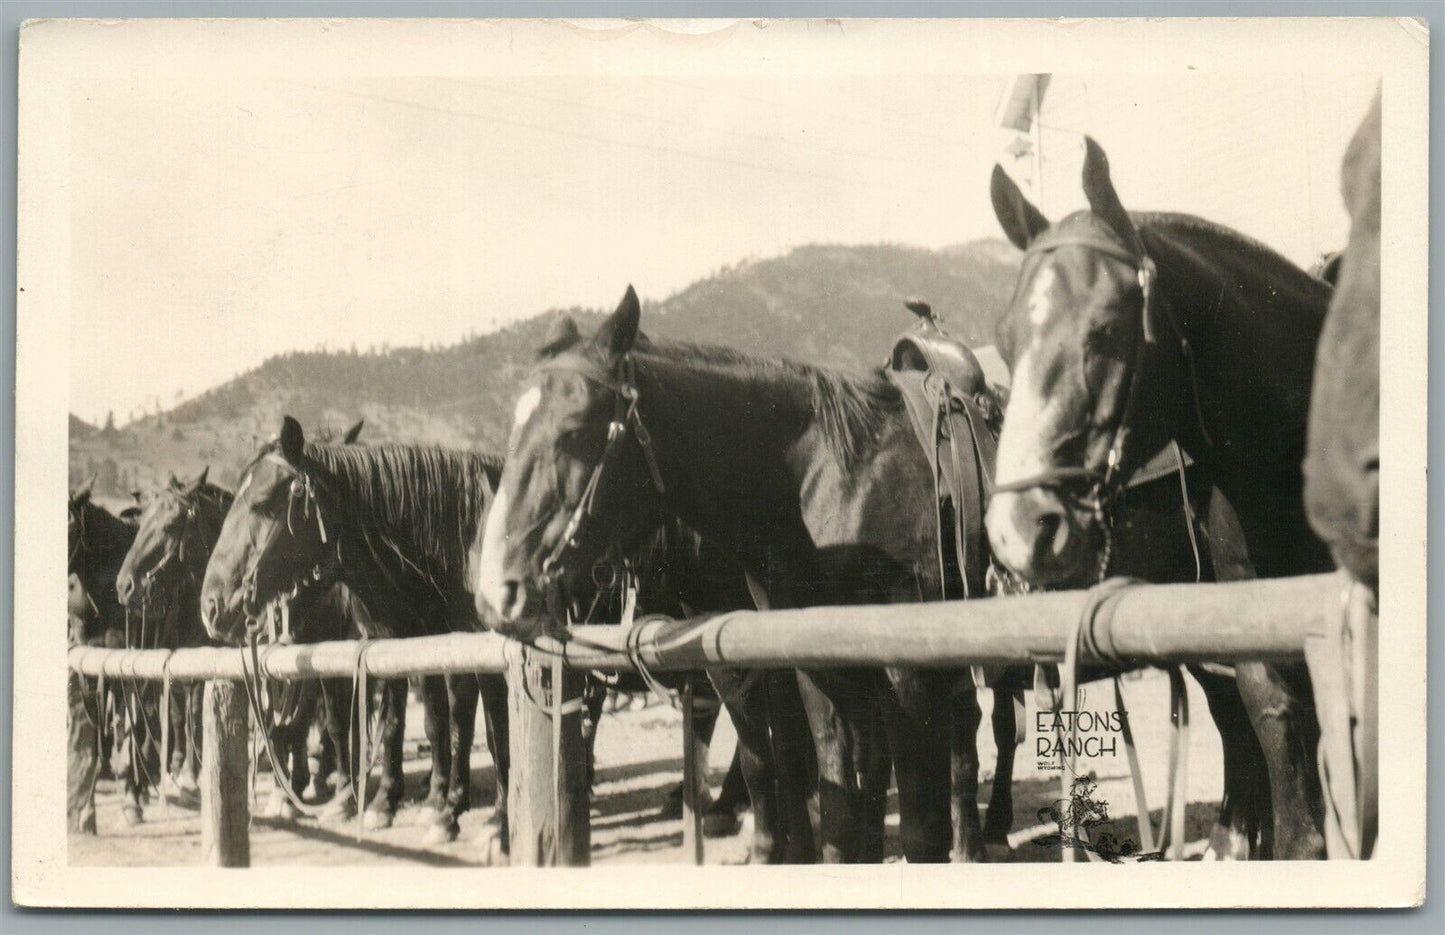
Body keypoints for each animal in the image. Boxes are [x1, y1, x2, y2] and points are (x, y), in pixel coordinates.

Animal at [200, 423, 511, 850]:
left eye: (262, 504)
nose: (210, 606)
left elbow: (491, 730)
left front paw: (494, 821)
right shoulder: (394, 644)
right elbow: (396, 722)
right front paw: (385, 803)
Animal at [477, 287, 1016, 863]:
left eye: (575, 430)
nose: (496, 594)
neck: (833, 481)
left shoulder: (908, 674)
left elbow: (916, 827)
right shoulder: (817, 673)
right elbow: (829, 797)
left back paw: (987, 836)